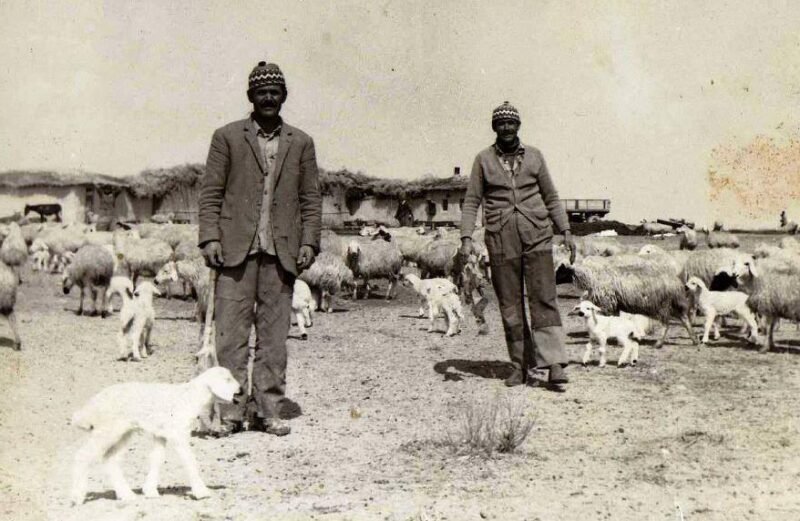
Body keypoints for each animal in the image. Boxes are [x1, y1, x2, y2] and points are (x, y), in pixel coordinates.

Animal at [70, 366, 239, 504]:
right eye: (227, 379)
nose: (240, 391)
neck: (189, 397)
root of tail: (91, 405)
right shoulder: (178, 433)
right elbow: (189, 460)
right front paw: (201, 492)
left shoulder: (160, 434)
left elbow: (157, 459)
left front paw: (150, 491)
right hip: (107, 430)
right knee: (83, 455)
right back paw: (77, 497)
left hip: (123, 432)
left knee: (110, 460)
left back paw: (127, 495)